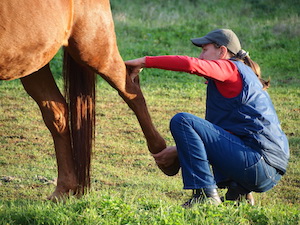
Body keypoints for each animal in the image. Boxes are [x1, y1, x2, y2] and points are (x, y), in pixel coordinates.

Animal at [0, 0, 179, 200]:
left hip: (93, 49)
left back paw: (164, 157)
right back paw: (63, 190)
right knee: (57, 113)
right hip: (34, 61)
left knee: (131, 91)